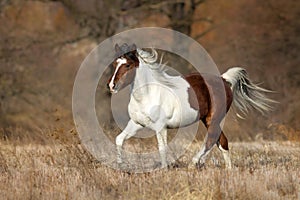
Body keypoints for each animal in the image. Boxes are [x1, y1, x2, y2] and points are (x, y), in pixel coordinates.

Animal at [106, 42, 274, 169]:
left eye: (128, 65)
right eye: (115, 64)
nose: (111, 85)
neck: (148, 94)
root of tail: (224, 80)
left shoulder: (161, 126)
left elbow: (162, 148)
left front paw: (164, 170)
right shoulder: (136, 123)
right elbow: (119, 139)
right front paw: (121, 166)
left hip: (213, 119)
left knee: (211, 140)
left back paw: (194, 163)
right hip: (208, 119)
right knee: (222, 141)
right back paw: (228, 169)